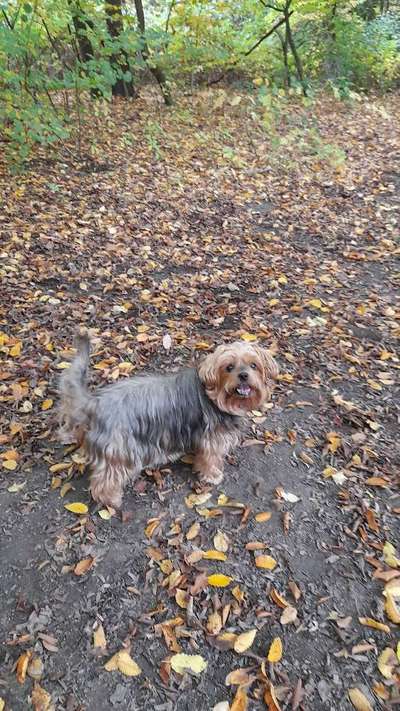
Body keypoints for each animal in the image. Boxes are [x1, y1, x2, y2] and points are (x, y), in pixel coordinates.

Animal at [59, 332, 278, 506]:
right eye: (229, 367)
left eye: (254, 365)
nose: (243, 375)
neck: (215, 397)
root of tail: (95, 402)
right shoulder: (212, 440)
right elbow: (211, 459)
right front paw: (213, 476)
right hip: (120, 448)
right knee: (106, 478)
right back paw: (110, 499)